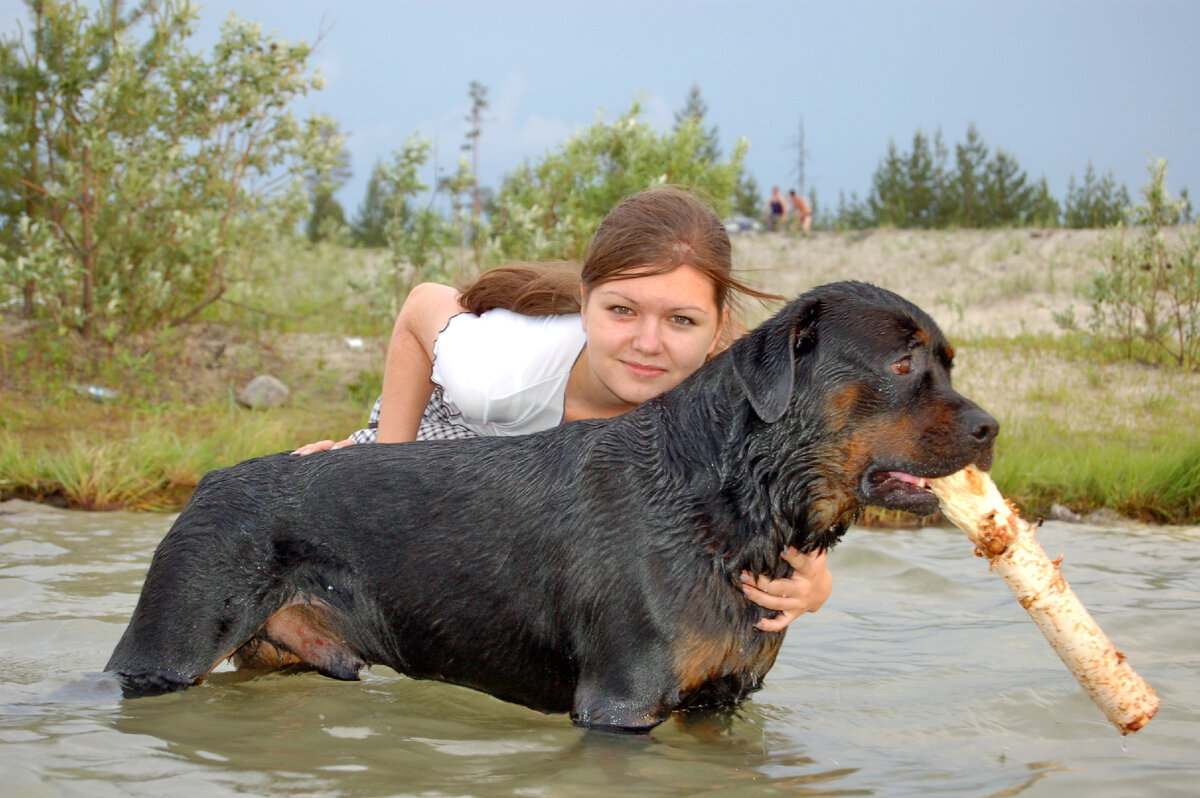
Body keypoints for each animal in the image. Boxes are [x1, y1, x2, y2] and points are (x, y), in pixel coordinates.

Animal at [110, 279, 993, 729]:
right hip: (169, 638)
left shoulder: (718, 700)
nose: (991, 428)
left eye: (948, 362)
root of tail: (207, 481)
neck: (729, 500)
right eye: (904, 362)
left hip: (272, 651)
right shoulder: (621, 699)